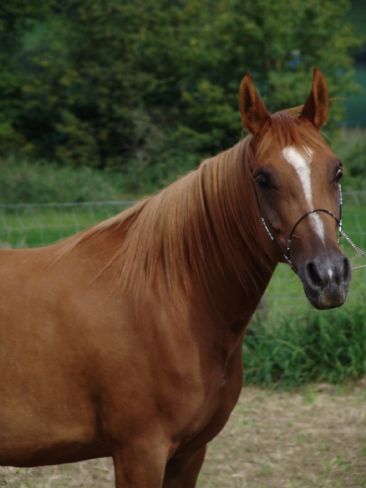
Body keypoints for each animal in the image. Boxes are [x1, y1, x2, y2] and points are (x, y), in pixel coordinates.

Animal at [0, 67, 352, 484]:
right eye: (263, 178)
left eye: (337, 170)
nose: (328, 276)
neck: (168, 299)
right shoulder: (140, 454)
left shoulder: (190, 453)